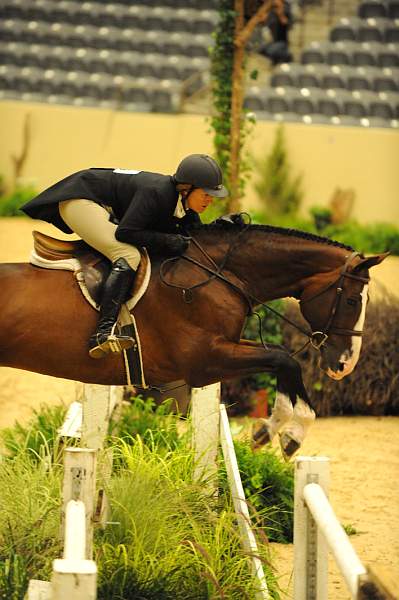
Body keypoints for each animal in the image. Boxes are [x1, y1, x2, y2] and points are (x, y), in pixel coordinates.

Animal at [0, 221, 388, 460]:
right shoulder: (203, 361)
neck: (218, 275)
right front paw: (284, 432)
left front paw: (276, 432)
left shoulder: (222, 348)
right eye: (352, 301)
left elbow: (281, 358)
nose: (345, 365)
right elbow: (284, 359)